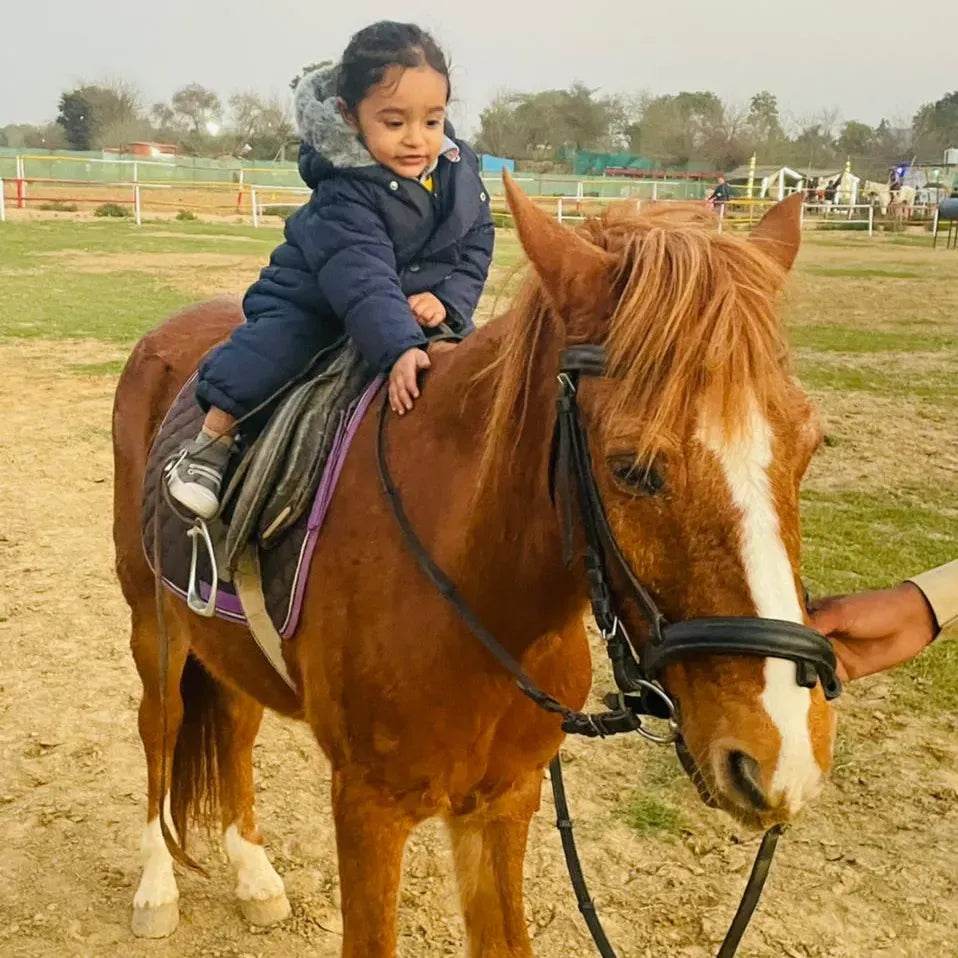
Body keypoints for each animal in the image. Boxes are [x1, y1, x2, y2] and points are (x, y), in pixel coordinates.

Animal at [112, 180, 836, 956]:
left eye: (811, 445)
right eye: (632, 469)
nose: (782, 755)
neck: (480, 609)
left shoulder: (503, 804)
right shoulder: (368, 810)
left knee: (236, 722)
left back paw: (252, 873)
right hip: (153, 627)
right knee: (160, 727)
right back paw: (155, 886)